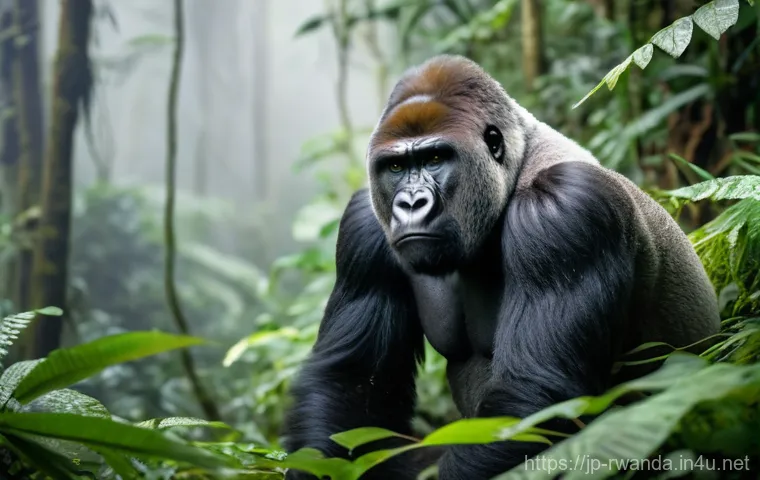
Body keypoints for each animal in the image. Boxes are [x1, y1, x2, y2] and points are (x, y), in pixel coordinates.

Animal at [280, 54, 721, 480]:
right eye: (396, 168)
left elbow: (534, 399)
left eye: (435, 158)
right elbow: (350, 381)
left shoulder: (566, 210)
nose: (410, 203)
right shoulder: (366, 223)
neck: (517, 166)